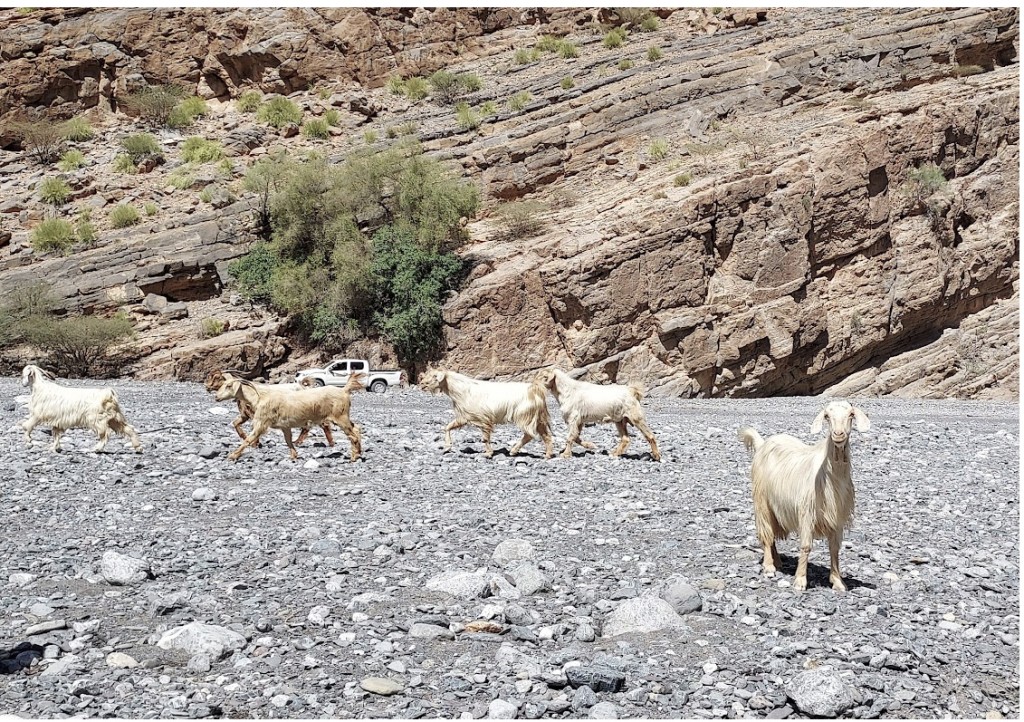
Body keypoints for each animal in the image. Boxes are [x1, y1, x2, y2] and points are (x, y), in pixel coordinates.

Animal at [219, 374, 364, 462]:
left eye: (229, 386)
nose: (216, 397)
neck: (260, 396)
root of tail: (344, 390)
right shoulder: (285, 426)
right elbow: (288, 440)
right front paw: (294, 456)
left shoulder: (261, 422)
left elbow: (249, 439)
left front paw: (233, 455)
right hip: (344, 416)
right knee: (356, 428)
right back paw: (359, 452)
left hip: (340, 416)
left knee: (352, 435)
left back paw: (354, 456)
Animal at [419, 368, 554, 459]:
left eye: (435, 376)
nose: (422, 384)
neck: (462, 390)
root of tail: (535, 389)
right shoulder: (464, 417)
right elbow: (447, 427)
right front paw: (447, 447)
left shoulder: (482, 418)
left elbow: (485, 438)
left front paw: (488, 454)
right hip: (538, 418)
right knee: (546, 435)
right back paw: (547, 455)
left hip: (525, 415)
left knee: (529, 435)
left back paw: (513, 451)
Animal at [737, 400, 870, 591]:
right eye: (827, 416)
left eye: (851, 414)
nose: (838, 434)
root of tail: (762, 444)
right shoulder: (807, 512)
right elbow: (806, 546)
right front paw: (800, 581)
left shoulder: (837, 515)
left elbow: (835, 548)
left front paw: (838, 581)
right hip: (761, 500)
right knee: (766, 533)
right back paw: (769, 567)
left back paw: (778, 562)